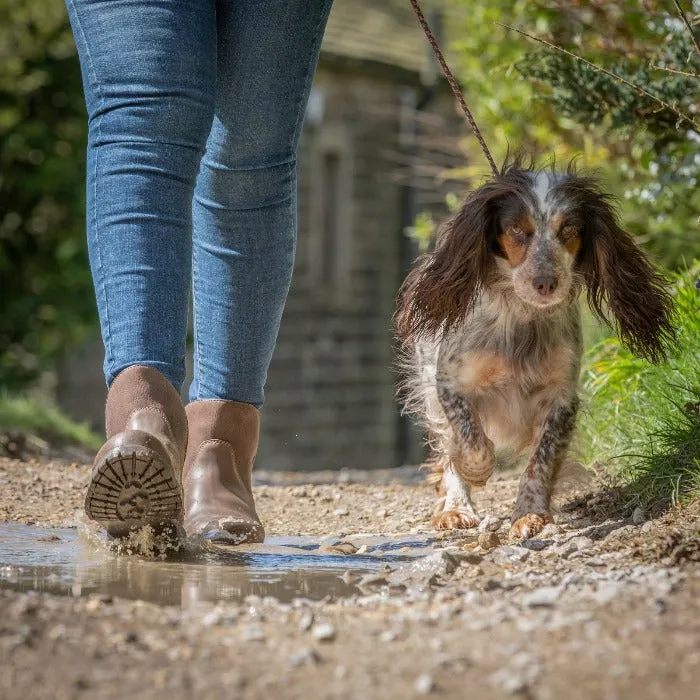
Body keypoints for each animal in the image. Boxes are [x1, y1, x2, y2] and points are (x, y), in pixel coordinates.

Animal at [394, 161, 672, 540]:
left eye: (569, 228)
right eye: (516, 229)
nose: (545, 283)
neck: (522, 320)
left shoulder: (561, 398)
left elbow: (541, 461)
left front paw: (530, 515)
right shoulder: (449, 384)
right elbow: (471, 443)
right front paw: (473, 472)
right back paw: (455, 508)